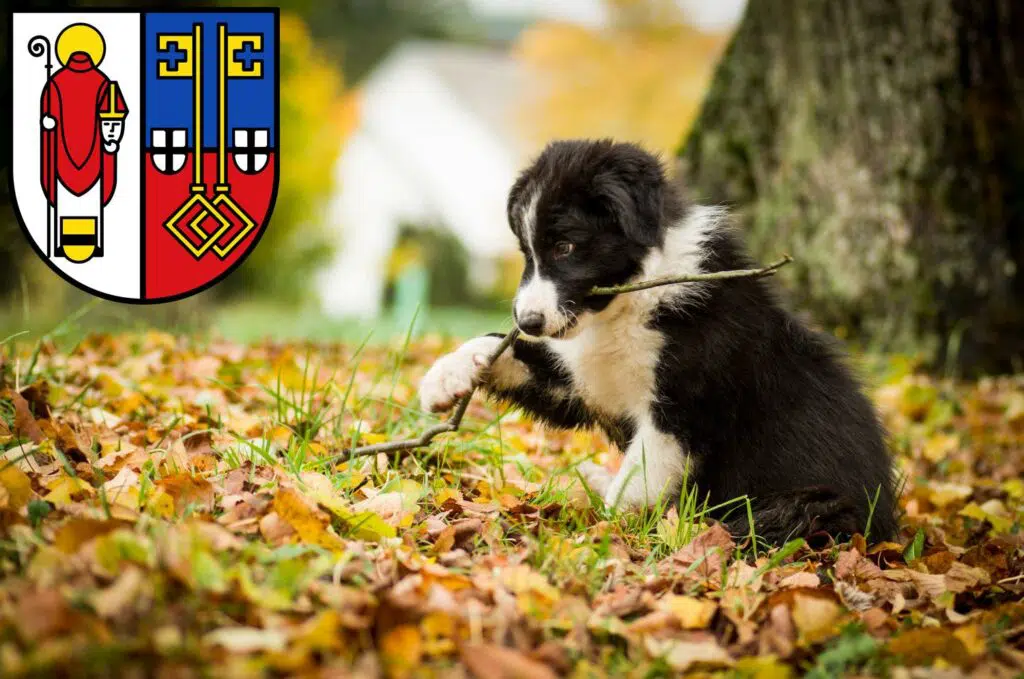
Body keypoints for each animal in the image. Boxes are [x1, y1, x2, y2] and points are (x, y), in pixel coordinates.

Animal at [415, 139, 897, 548]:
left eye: (566, 246)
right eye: (527, 253)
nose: (529, 321)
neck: (630, 304)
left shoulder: (682, 413)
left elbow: (635, 483)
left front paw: (598, 539)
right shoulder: (583, 382)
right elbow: (506, 349)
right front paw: (446, 376)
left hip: (812, 507)